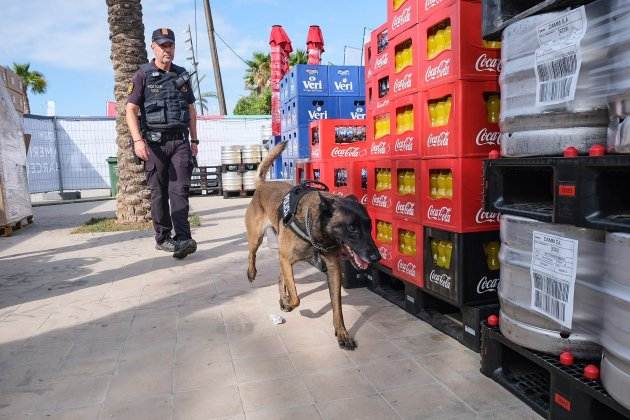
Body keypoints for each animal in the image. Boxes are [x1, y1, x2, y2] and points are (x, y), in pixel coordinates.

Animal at [247, 143, 382, 350]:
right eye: (352, 228)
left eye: (370, 226)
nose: (376, 257)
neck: (316, 228)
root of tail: (263, 185)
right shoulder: (287, 259)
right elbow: (296, 298)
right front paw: (290, 303)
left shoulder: (333, 269)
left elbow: (337, 308)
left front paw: (342, 334)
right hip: (257, 238)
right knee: (251, 253)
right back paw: (252, 272)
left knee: (280, 277)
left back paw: (282, 298)